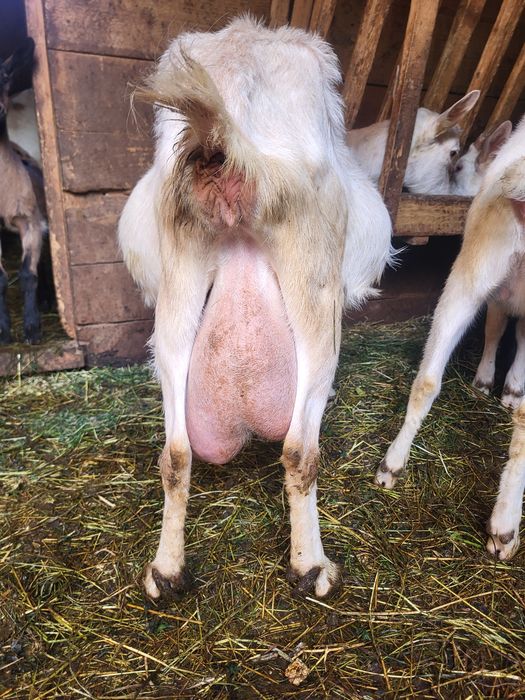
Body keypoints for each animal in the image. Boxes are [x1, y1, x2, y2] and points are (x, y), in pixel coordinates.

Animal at [119, 16, 392, 600]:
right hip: (314, 290)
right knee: (300, 451)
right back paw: (312, 567)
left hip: (177, 293)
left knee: (176, 454)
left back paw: (166, 571)